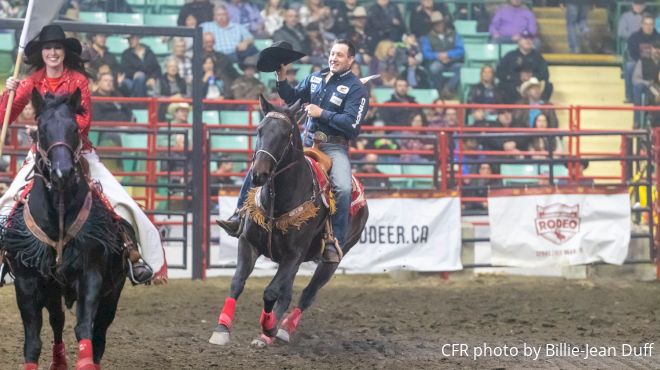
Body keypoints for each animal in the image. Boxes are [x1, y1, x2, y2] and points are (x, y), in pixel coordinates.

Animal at [209, 94, 368, 346]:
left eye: (285, 134)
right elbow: (237, 282)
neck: (278, 200)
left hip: (330, 261)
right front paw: (221, 329)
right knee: (288, 292)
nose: (259, 174)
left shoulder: (294, 254)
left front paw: (268, 328)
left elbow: (271, 292)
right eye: (260, 130)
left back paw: (282, 329)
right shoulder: (248, 243)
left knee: (306, 294)